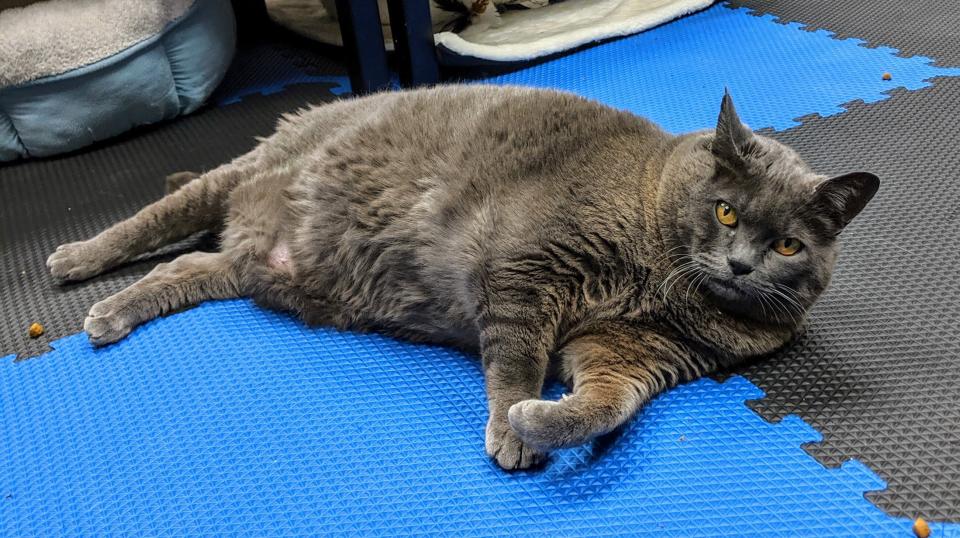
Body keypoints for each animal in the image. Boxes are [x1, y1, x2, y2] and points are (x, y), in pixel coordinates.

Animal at [50, 85, 876, 468]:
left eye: (789, 246)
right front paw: (511, 426)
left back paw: (113, 314)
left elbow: (607, 406)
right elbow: (516, 357)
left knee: (189, 262)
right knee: (159, 217)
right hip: (245, 173)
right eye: (728, 213)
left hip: (248, 264)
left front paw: (539, 421)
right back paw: (76, 261)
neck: (658, 281)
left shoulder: (633, 353)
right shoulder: (528, 271)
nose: (739, 264)